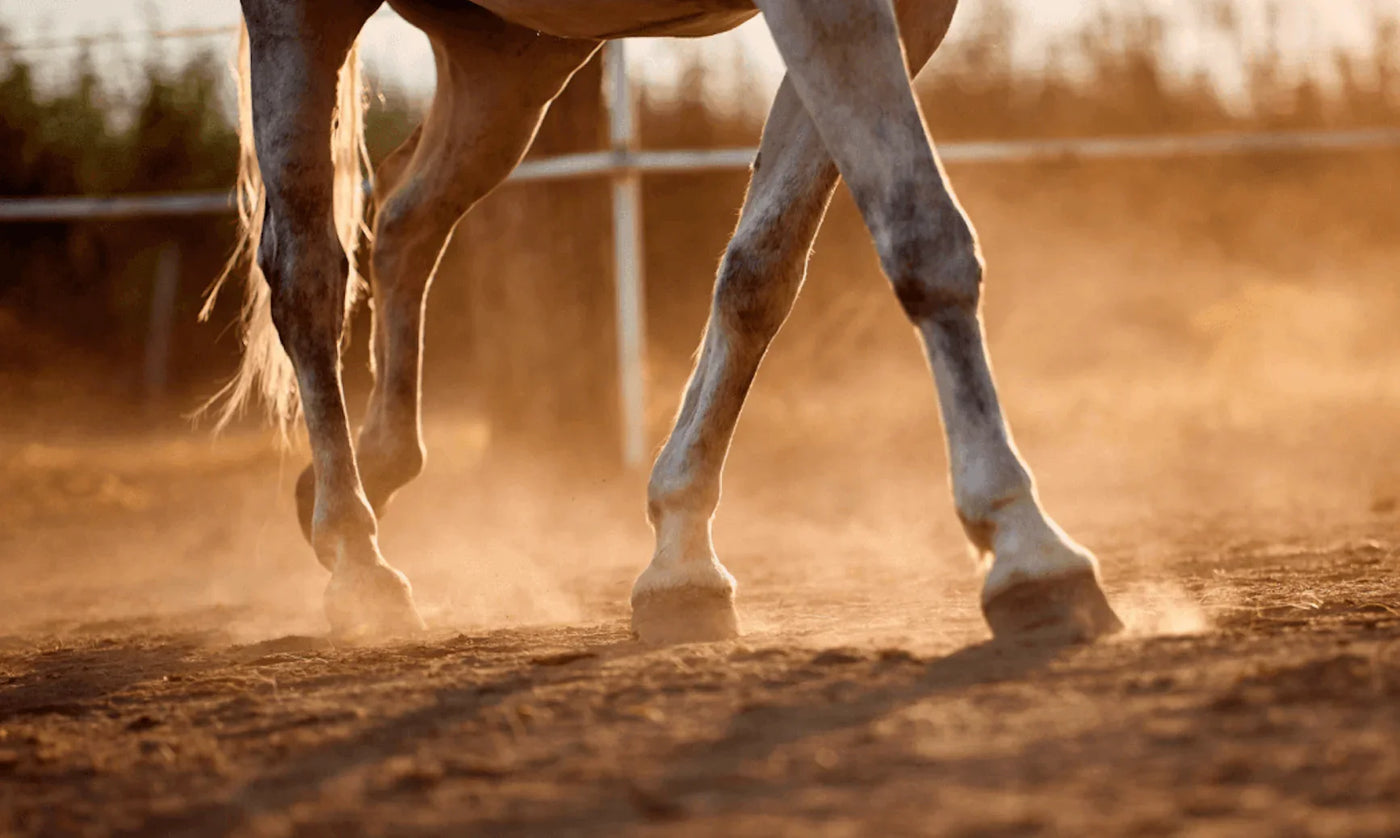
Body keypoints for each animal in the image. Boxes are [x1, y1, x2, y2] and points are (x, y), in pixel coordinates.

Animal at [213, 0, 1124, 644]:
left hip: (511, 58)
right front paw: (1029, 550)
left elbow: (761, 271)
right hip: (308, 20)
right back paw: (357, 560)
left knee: (405, 218)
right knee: (307, 273)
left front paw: (682, 559)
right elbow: (923, 235)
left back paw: (367, 472)